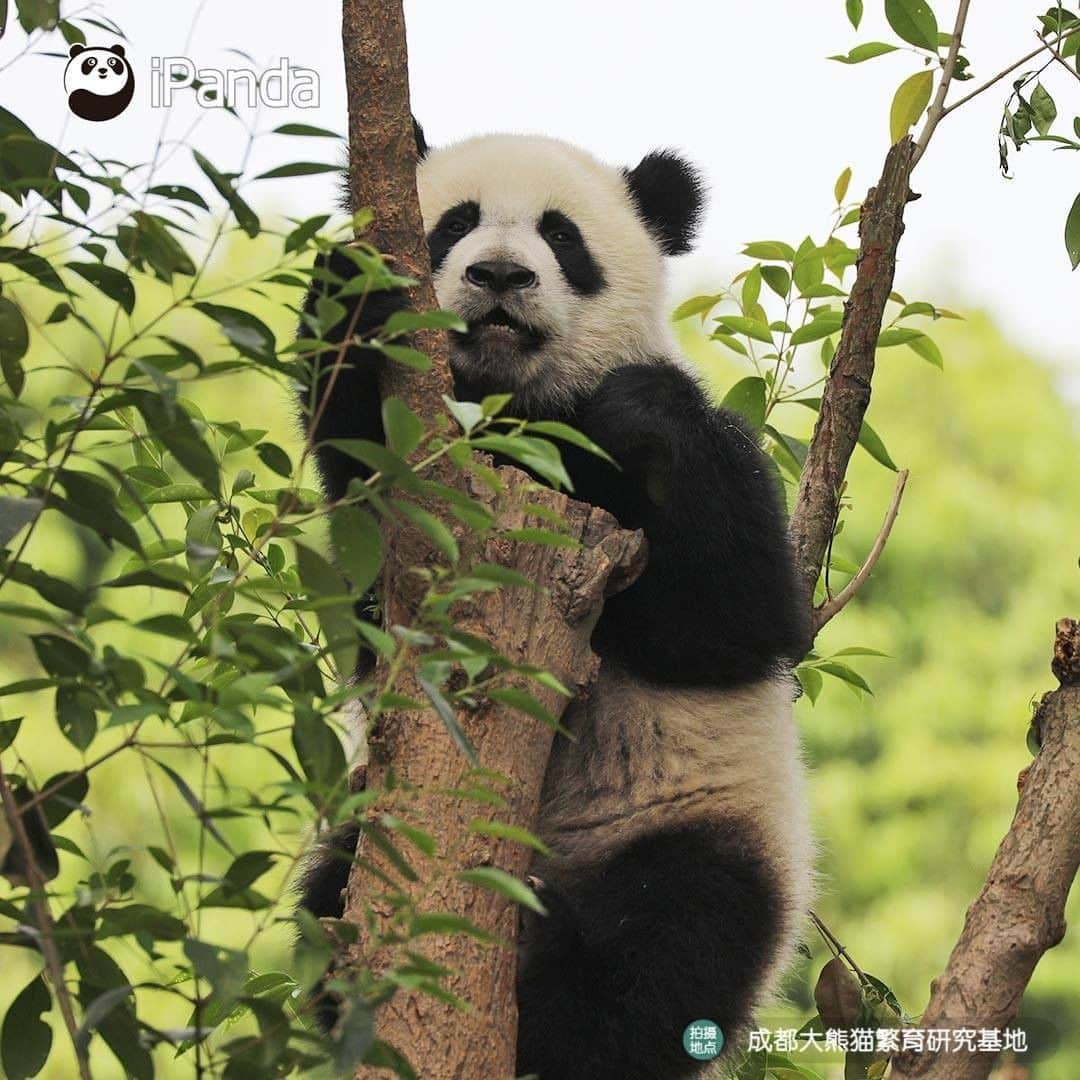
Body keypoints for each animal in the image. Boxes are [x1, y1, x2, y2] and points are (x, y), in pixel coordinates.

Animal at [300, 128, 812, 1080]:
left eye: (562, 237)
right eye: (453, 224)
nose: (501, 276)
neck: (516, 410)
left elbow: (740, 622)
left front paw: (639, 409)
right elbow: (367, 587)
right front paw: (357, 292)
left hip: (705, 824)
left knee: (671, 948)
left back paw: (554, 979)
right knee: (328, 898)